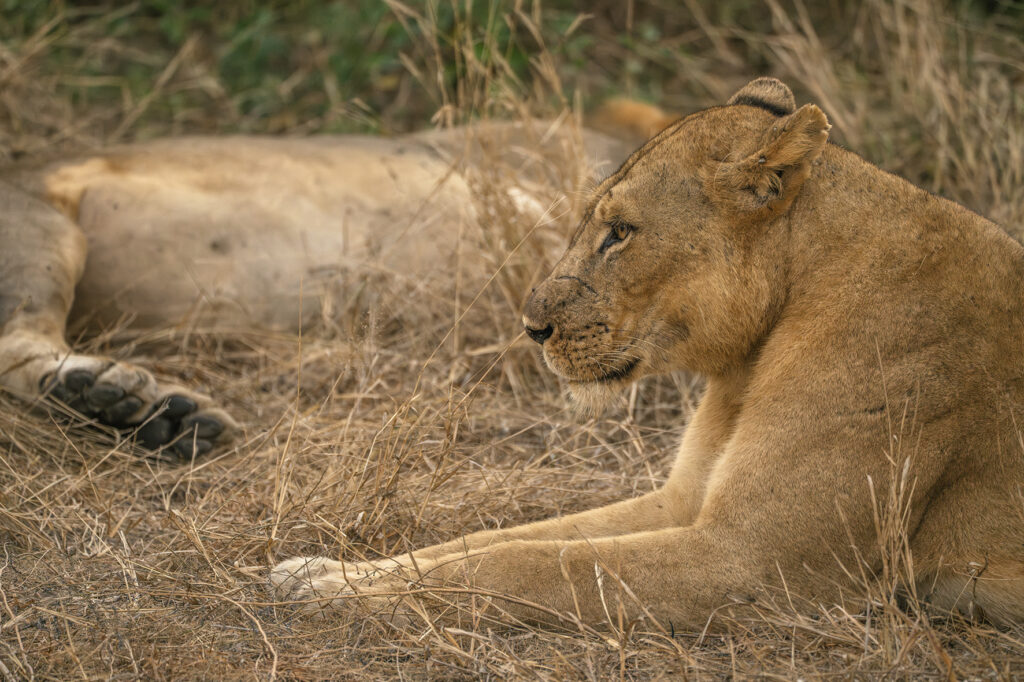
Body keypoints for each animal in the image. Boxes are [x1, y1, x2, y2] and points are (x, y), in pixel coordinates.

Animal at [270, 78, 1024, 629]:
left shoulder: (753, 565)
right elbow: (497, 538)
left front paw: (339, 594)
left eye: (621, 233)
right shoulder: (684, 501)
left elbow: (524, 564)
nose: (530, 327)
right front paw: (320, 570)